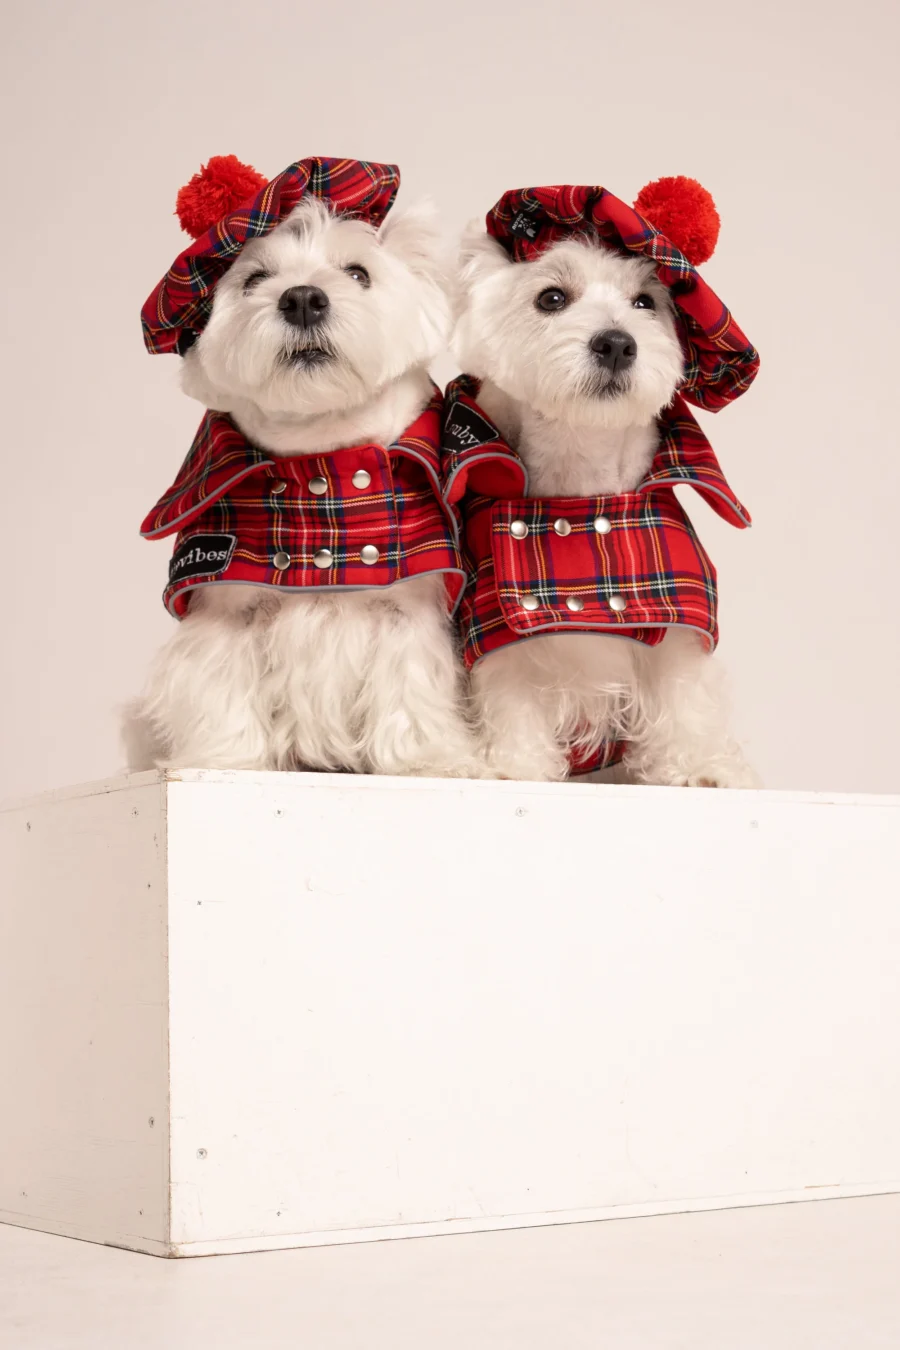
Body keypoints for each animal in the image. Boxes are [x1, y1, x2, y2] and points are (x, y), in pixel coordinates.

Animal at [127, 193, 483, 783]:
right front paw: (226, 761)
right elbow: (222, 687)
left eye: (358, 272)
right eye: (254, 279)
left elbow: (411, 691)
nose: (302, 299)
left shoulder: (408, 609)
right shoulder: (224, 609)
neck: (320, 464)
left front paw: (429, 761)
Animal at [453, 218, 755, 788]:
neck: (580, 484)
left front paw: (697, 767)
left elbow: (682, 694)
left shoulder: (681, 614)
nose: (616, 344)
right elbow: (511, 696)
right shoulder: (495, 625)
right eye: (551, 297)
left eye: (645, 302)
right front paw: (513, 767)